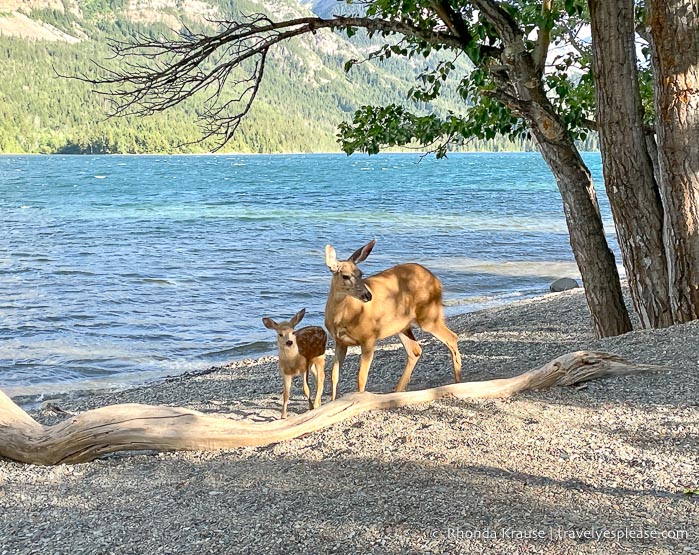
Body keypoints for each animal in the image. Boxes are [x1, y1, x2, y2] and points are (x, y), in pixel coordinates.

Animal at [324, 240, 462, 400]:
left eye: (361, 273)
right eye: (345, 276)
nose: (368, 295)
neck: (347, 315)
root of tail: (437, 280)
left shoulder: (369, 337)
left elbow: (361, 377)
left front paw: (360, 398)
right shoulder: (339, 341)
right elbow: (334, 376)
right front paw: (332, 401)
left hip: (428, 315)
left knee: (451, 337)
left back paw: (458, 382)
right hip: (402, 326)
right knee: (415, 350)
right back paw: (397, 392)